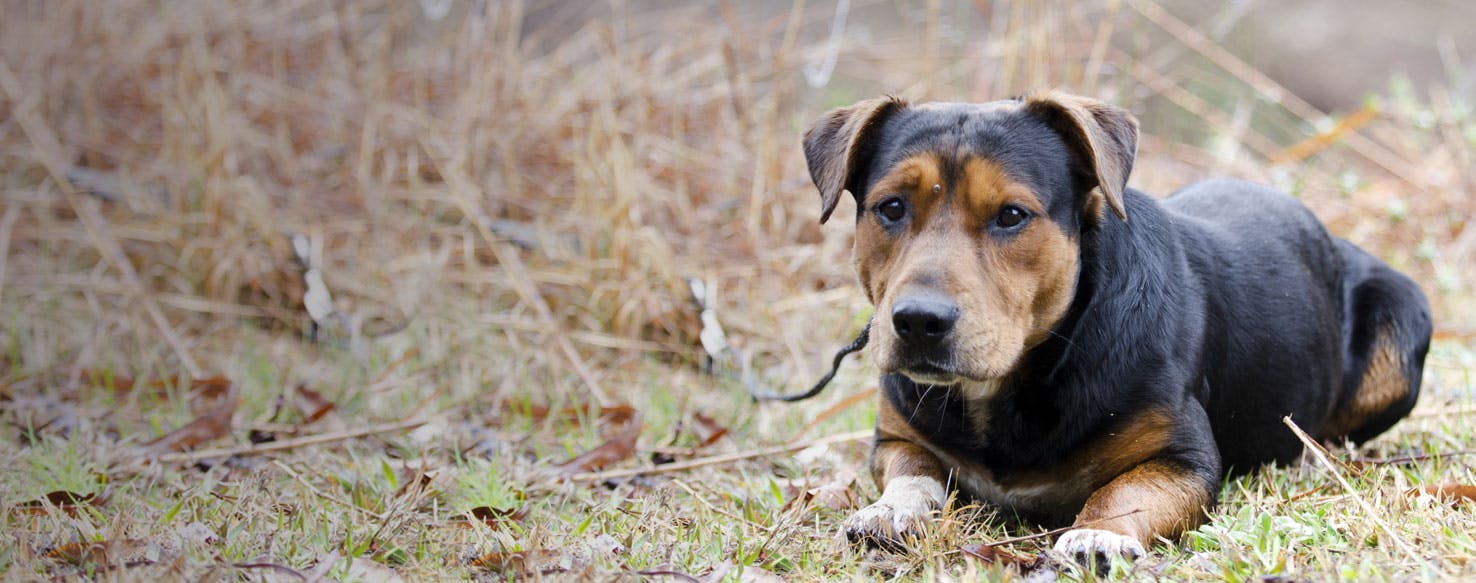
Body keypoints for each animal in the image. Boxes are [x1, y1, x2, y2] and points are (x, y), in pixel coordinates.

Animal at [802, 92, 1434, 566]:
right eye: (891, 207)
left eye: (1012, 215)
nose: (918, 321)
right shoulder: (898, 438)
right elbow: (914, 473)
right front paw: (893, 510)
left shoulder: (1184, 459)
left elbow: (1125, 492)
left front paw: (1097, 535)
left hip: (1401, 331)